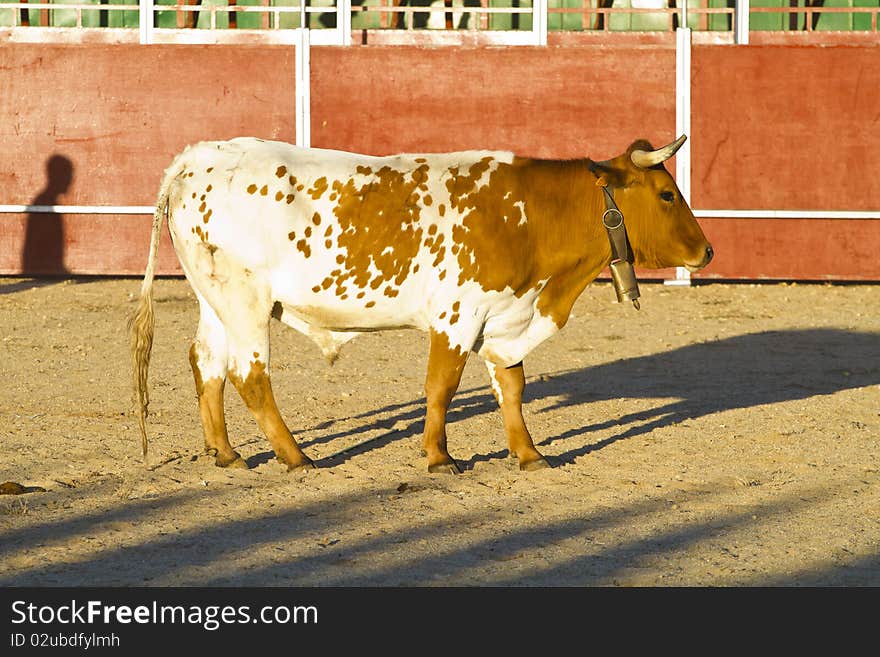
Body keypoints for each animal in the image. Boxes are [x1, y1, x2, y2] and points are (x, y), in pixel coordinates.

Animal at [131, 135, 712, 472]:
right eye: (667, 194)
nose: (706, 251)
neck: (527, 214)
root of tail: (196, 159)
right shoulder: (457, 317)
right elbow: (442, 387)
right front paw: (439, 456)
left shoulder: (506, 316)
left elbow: (512, 386)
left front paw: (528, 453)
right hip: (245, 300)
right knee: (249, 375)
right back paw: (296, 458)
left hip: (214, 299)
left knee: (206, 363)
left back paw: (226, 454)